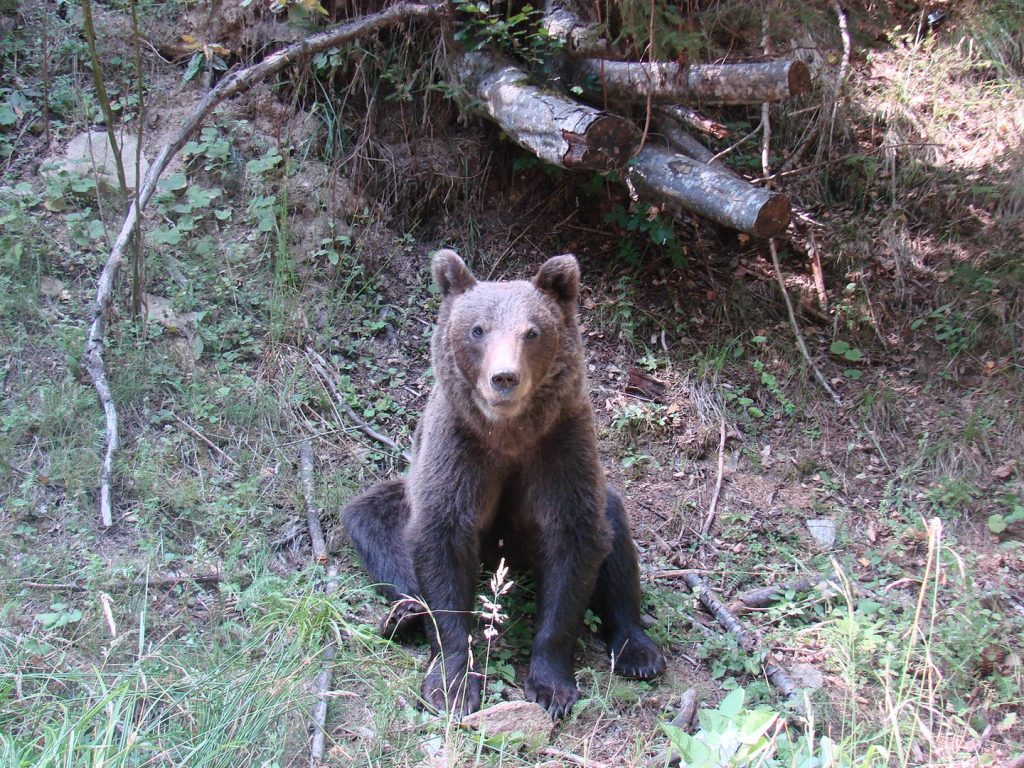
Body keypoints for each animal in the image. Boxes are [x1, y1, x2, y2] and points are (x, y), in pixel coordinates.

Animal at [339, 249, 667, 720]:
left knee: (615, 536)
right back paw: (405, 613)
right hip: (402, 497)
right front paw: (453, 683)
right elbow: (442, 538)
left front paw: (551, 685)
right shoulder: (460, 449)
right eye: (478, 329)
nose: (504, 378)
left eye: (532, 332)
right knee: (372, 522)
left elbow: (574, 543)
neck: (508, 434)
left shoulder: (560, 448)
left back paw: (637, 651)